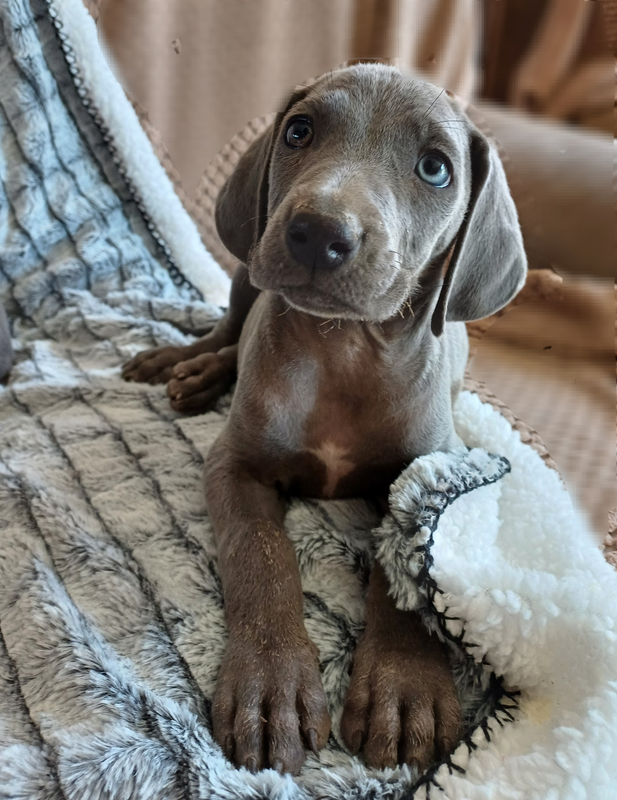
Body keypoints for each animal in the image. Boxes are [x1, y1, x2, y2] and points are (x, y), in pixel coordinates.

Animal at [121, 65, 524, 780]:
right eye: (299, 132)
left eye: (435, 169)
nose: (317, 231)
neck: (344, 351)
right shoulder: (235, 465)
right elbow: (262, 557)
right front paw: (271, 687)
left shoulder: (430, 469)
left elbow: (408, 573)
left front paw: (404, 688)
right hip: (246, 277)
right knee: (227, 331)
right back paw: (189, 368)